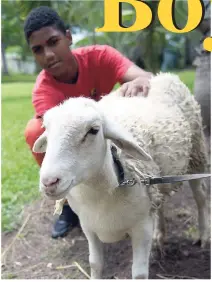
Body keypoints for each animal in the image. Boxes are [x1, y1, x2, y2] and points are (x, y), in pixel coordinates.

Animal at [33, 73, 209, 280]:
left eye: (93, 130)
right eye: (46, 129)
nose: (49, 182)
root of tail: (162, 75)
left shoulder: (141, 227)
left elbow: (139, 274)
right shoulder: (88, 226)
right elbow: (95, 264)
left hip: (196, 153)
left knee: (200, 197)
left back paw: (203, 235)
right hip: (157, 180)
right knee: (160, 203)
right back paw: (160, 234)